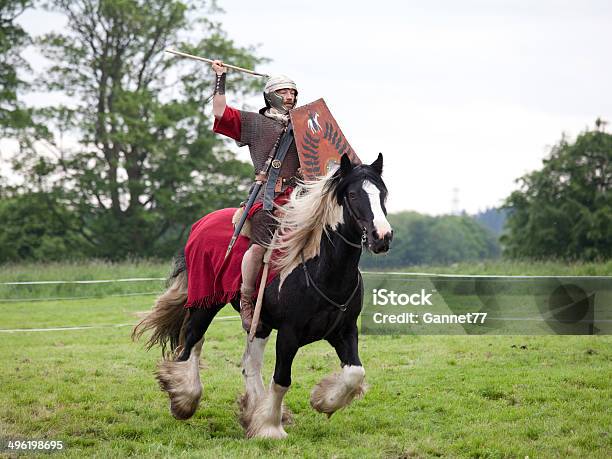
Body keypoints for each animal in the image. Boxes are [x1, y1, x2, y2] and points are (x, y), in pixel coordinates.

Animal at [133, 153, 392, 440]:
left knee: (248, 363)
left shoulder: (344, 331)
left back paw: (252, 410)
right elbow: (281, 380)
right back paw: (184, 399)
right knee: (191, 341)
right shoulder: (289, 334)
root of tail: (200, 224)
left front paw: (323, 401)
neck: (321, 268)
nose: (382, 236)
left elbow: (355, 372)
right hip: (206, 302)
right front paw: (270, 427)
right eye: (354, 194)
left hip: (259, 323)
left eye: (382, 194)